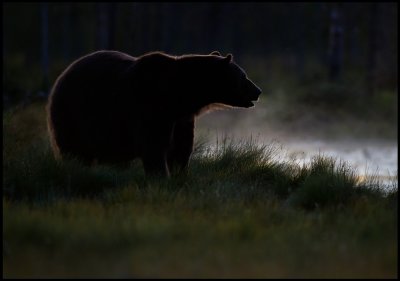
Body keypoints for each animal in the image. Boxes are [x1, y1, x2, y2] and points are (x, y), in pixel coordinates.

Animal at [47, 50, 262, 176]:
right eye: (244, 75)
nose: (258, 90)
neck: (181, 96)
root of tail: (61, 76)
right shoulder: (150, 105)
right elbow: (154, 145)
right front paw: (161, 177)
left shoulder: (182, 118)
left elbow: (182, 147)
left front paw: (180, 174)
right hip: (72, 112)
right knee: (73, 150)